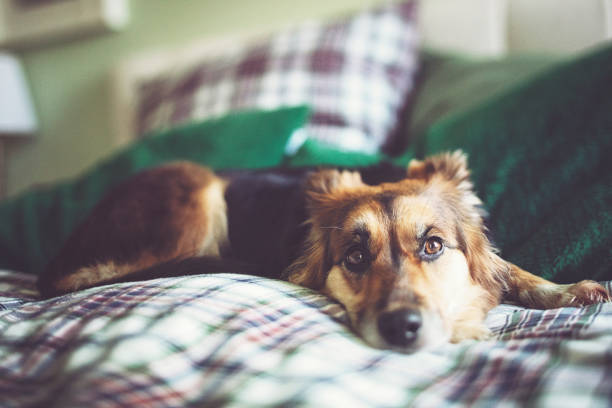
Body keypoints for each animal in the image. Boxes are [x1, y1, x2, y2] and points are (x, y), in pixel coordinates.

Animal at [35, 151, 608, 352]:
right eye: (354, 257)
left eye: (433, 246)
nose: (402, 329)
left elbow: (508, 268)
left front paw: (564, 289)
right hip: (194, 186)